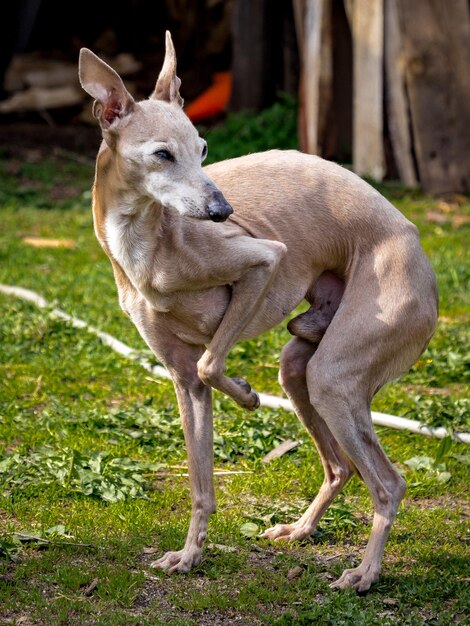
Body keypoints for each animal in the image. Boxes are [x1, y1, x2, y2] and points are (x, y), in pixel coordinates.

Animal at [79, 33, 438, 588]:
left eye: (203, 149)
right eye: (162, 154)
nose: (223, 212)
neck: (148, 244)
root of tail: (417, 245)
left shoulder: (263, 261)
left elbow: (213, 361)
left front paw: (247, 396)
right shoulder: (182, 379)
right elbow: (200, 483)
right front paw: (188, 555)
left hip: (334, 377)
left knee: (388, 483)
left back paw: (364, 573)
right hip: (301, 369)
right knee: (341, 466)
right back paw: (301, 529)